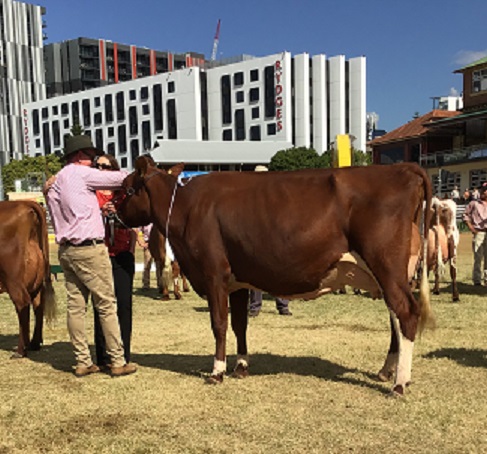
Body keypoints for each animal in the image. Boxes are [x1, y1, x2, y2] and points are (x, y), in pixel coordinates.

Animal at [0, 202, 56, 358]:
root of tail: (23, 203)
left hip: (13, 280)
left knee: (22, 303)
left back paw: (21, 350)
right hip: (36, 282)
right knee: (38, 304)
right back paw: (34, 344)